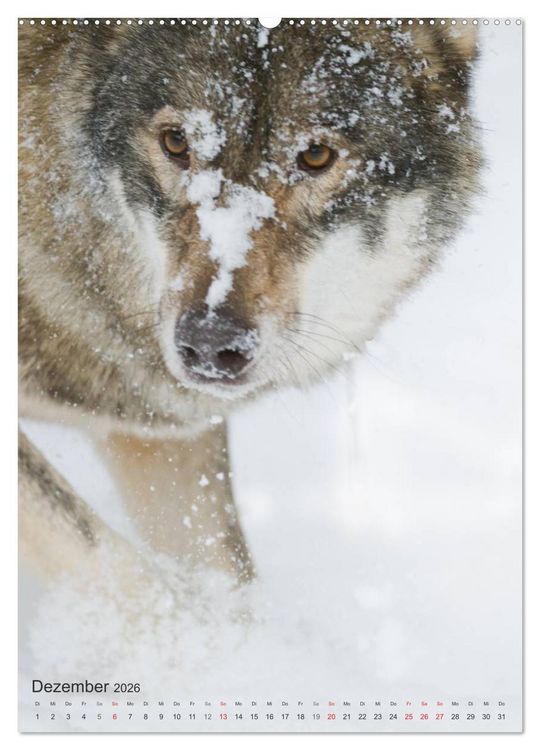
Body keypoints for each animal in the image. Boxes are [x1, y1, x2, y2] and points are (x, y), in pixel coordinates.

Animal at [18, 19, 480, 587]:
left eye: (315, 155)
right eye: (176, 142)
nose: (209, 344)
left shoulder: (165, 437)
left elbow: (227, 578)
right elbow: (125, 571)